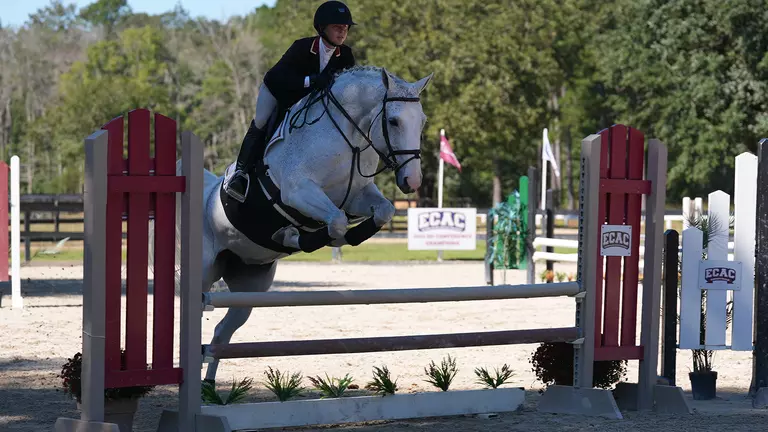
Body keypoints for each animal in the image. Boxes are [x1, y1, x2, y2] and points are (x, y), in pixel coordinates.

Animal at [169, 66, 433, 383]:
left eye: (422, 121)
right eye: (393, 121)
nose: (412, 181)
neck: (348, 140)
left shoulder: (356, 196)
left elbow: (380, 212)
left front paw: (338, 238)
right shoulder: (298, 192)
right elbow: (336, 221)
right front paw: (305, 236)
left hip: (251, 285)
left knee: (222, 332)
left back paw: (209, 385)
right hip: (204, 269)